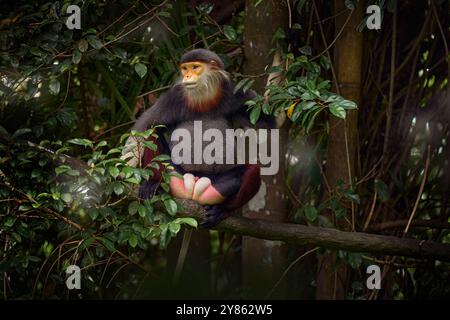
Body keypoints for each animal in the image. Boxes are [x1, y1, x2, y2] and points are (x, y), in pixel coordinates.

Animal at [123, 48, 274, 228]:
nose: (187, 76)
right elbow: (144, 128)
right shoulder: (173, 96)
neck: (205, 98)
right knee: (152, 131)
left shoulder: (237, 94)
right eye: (185, 69)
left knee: (253, 170)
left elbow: (268, 127)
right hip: (176, 173)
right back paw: (154, 184)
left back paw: (222, 210)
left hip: (214, 183)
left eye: (195, 67)